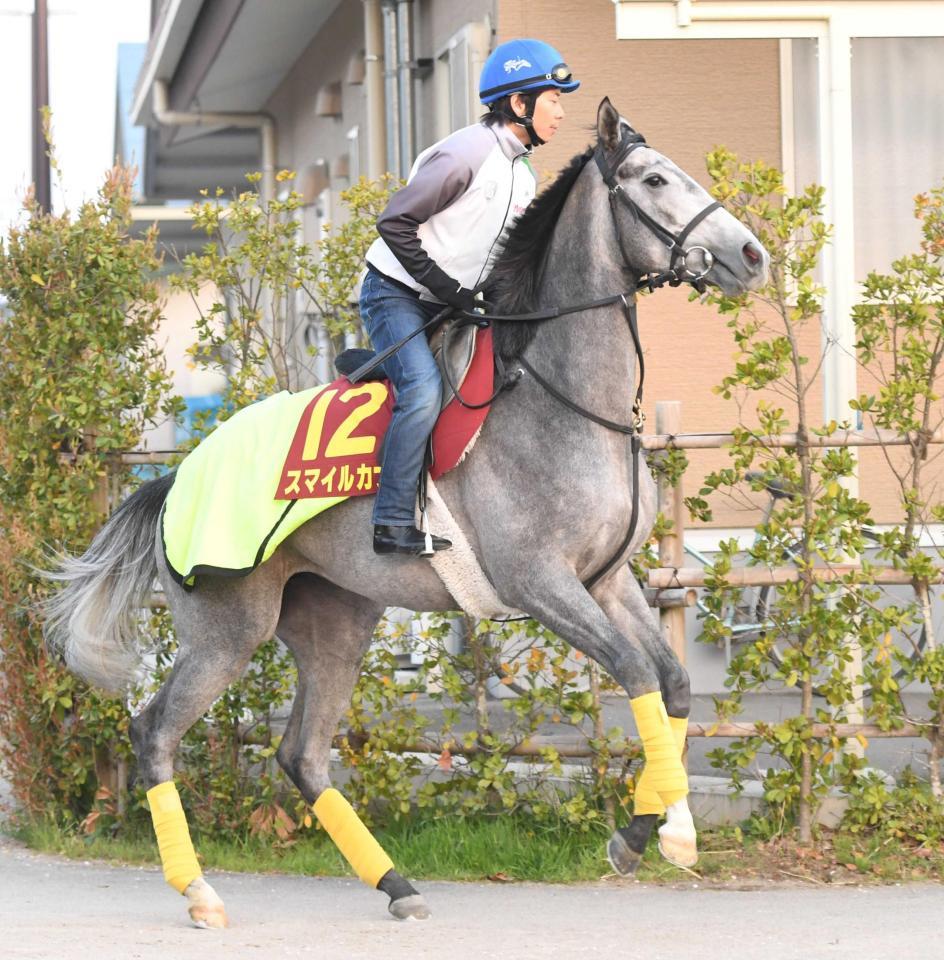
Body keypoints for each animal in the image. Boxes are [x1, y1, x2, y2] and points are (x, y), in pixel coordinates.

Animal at [44, 98, 769, 928]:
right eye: (653, 179)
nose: (752, 254)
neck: (565, 399)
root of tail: (177, 478)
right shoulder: (541, 583)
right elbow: (636, 674)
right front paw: (638, 835)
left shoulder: (609, 579)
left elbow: (673, 682)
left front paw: (672, 830)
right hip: (226, 633)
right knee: (156, 732)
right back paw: (201, 893)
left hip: (337, 624)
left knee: (302, 754)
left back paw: (397, 885)